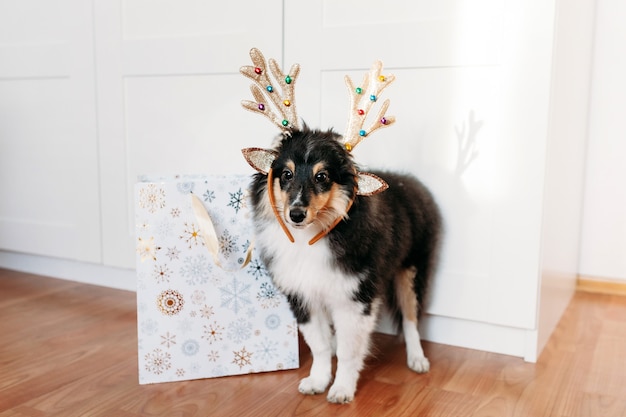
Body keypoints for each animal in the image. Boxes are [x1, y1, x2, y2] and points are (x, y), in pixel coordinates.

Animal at [246, 127, 442, 404]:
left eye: (322, 176)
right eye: (286, 174)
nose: (296, 214)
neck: (312, 236)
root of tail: (412, 182)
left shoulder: (355, 298)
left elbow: (350, 351)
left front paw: (342, 389)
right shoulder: (303, 295)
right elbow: (319, 345)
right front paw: (317, 381)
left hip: (412, 270)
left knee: (411, 317)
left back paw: (417, 359)